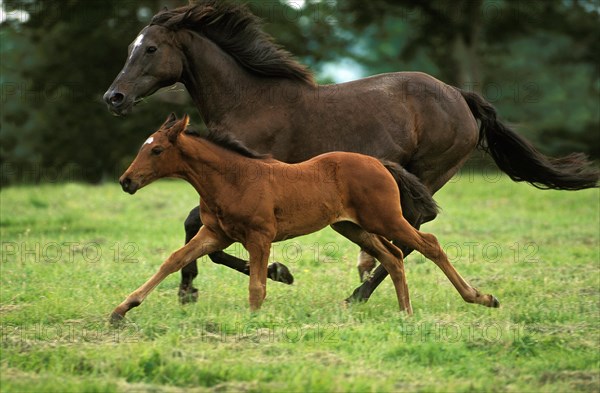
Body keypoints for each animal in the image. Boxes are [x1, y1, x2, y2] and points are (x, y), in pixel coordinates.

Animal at [110, 113, 500, 322]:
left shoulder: (260, 236)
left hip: (384, 219)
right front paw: (122, 309)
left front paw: (254, 321)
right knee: (393, 256)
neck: (232, 178)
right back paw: (405, 311)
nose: (126, 181)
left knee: (428, 245)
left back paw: (480, 298)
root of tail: (379, 163)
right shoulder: (214, 234)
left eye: (157, 150)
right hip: (351, 226)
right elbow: (173, 260)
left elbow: (257, 284)